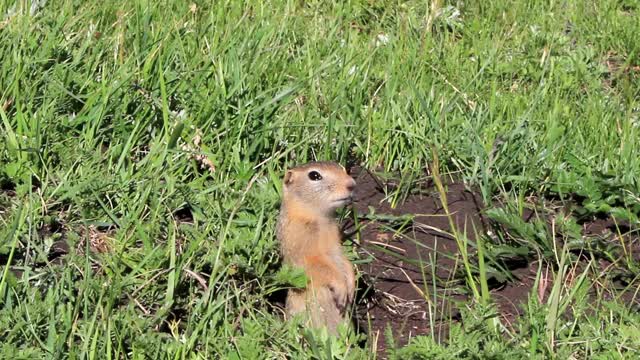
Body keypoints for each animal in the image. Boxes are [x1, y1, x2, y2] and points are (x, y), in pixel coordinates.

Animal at [278, 162, 358, 334]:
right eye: (314, 175)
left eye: (340, 168)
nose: (352, 184)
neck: (320, 218)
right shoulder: (302, 244)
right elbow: (319, 266)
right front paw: (342, 288)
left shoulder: (335, 243)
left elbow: (344, 260)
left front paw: (351, 285)